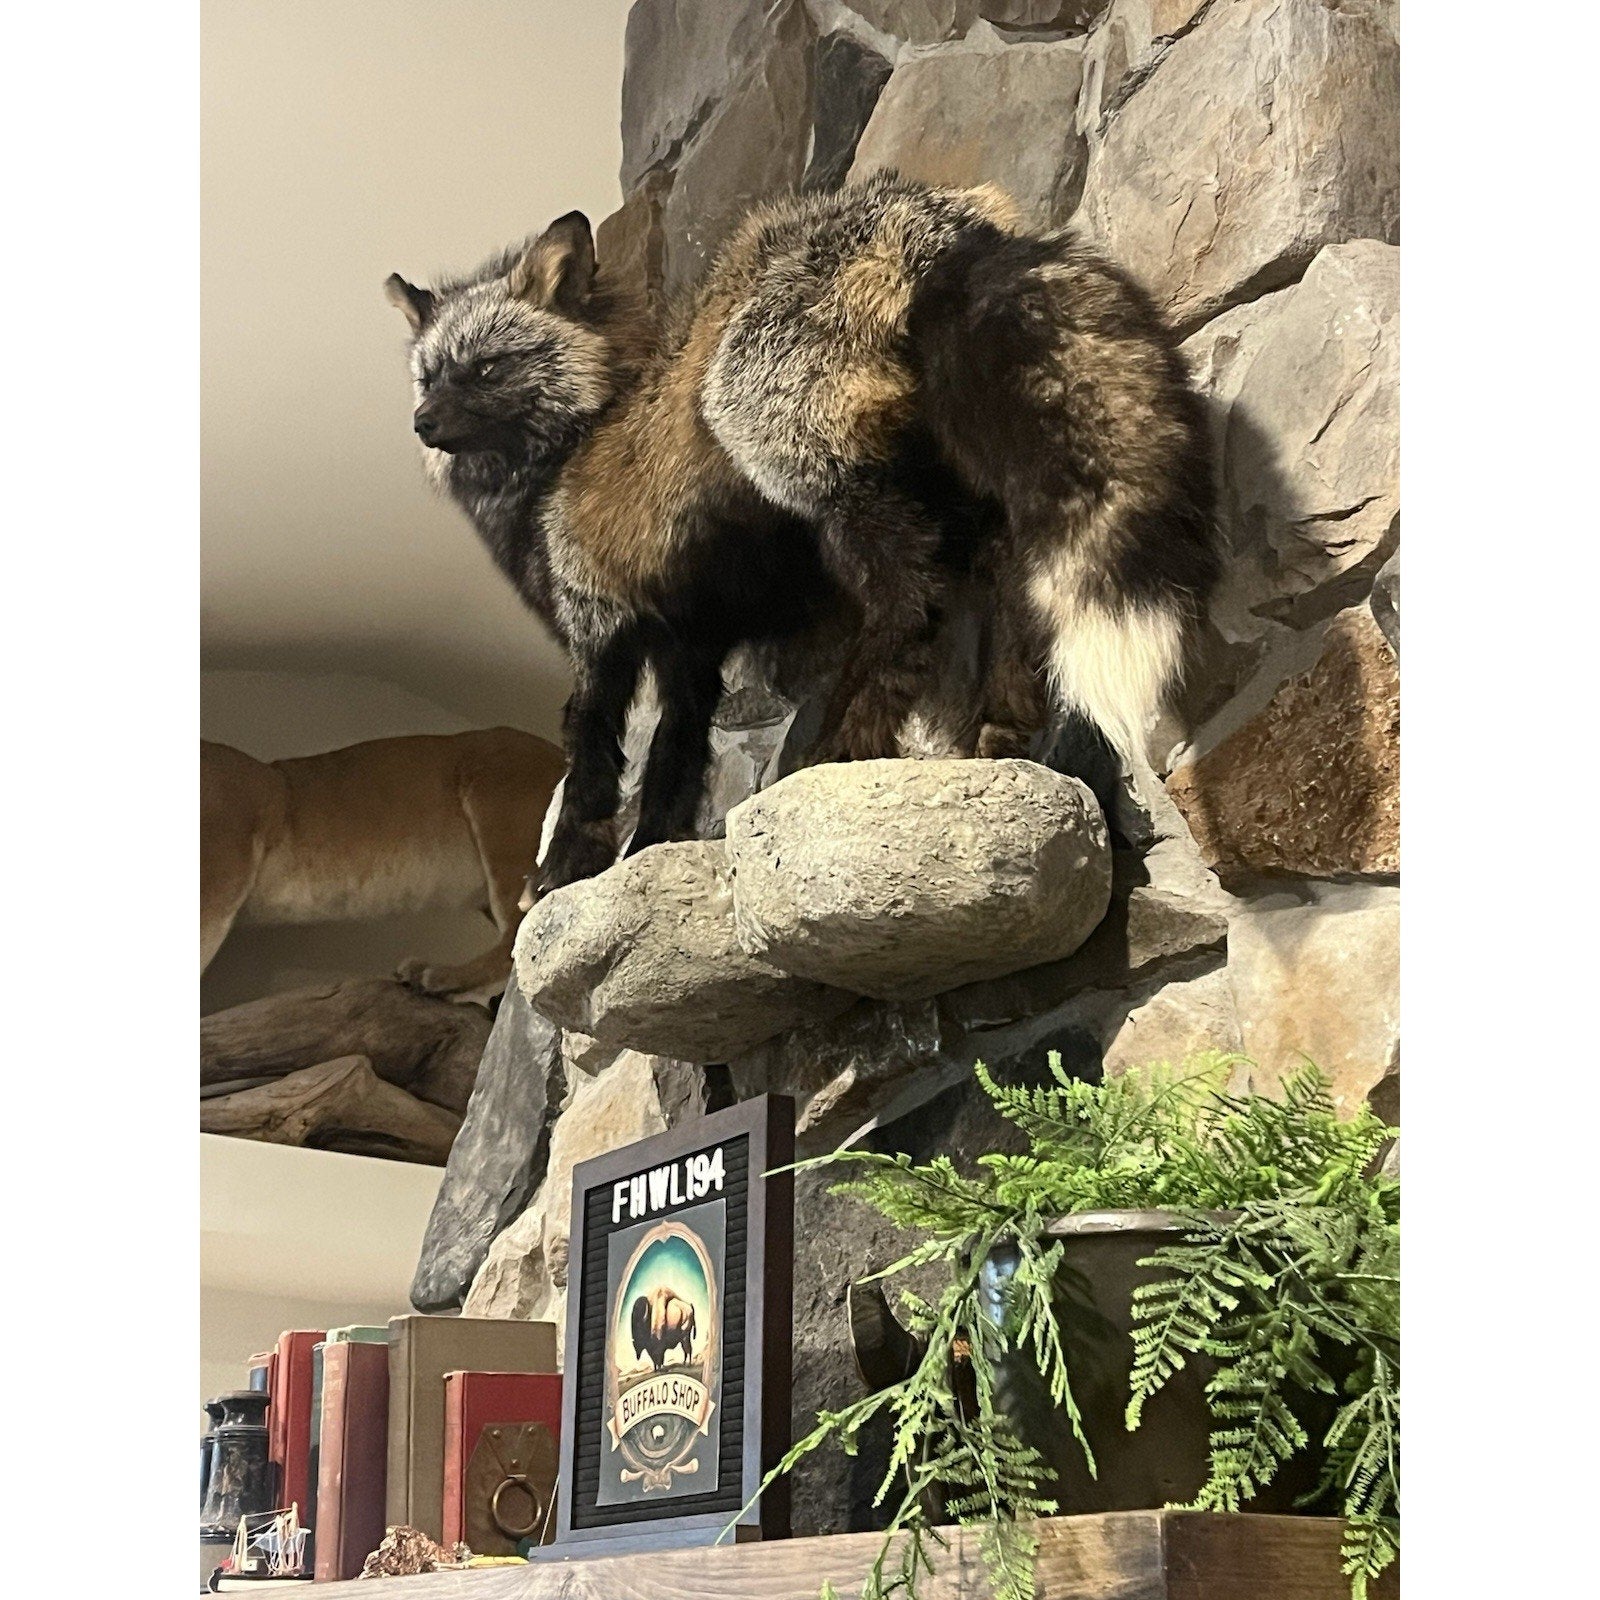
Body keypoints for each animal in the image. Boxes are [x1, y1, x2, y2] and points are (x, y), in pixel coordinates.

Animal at [386, 171, 1218, 897]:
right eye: (429, 376)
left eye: (486, 369)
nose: (420, 424)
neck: (572, 445)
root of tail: (929, 215)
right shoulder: (690, 648)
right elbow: (673, 763)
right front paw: (653, 849)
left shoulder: (601, 634)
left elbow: (591, 758)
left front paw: (564, 870)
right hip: (952, 492)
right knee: (1008, 583)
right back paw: (1002, 725)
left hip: (807, 470)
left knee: (913, 601)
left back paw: (842, 747)